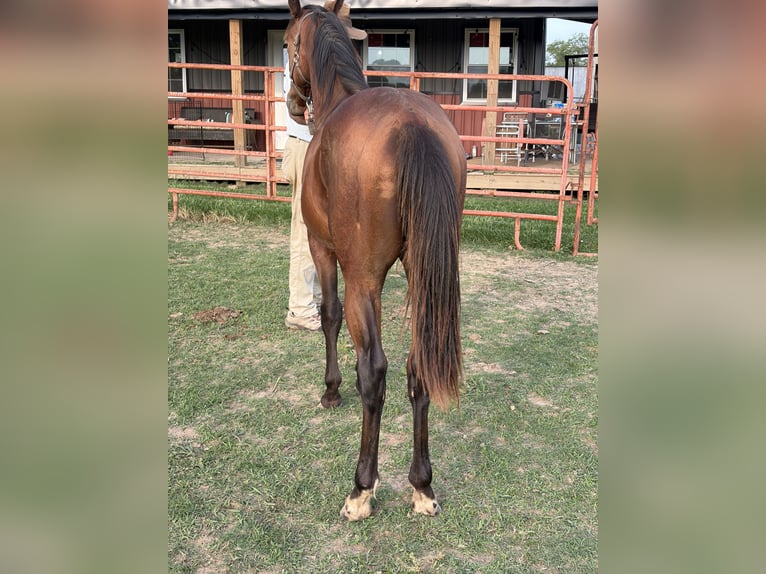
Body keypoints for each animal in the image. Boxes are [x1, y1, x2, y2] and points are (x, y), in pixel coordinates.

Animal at [285, 0, 466, 521]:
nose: (294, 103)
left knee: (376, 371)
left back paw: (361, 488)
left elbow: (329, 315)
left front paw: (330, 390)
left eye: (287, 43)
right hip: (425, 279)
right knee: (417, 366)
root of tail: (412, 126)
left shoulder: (323, 250)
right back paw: (422, 485)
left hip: (364, 278)